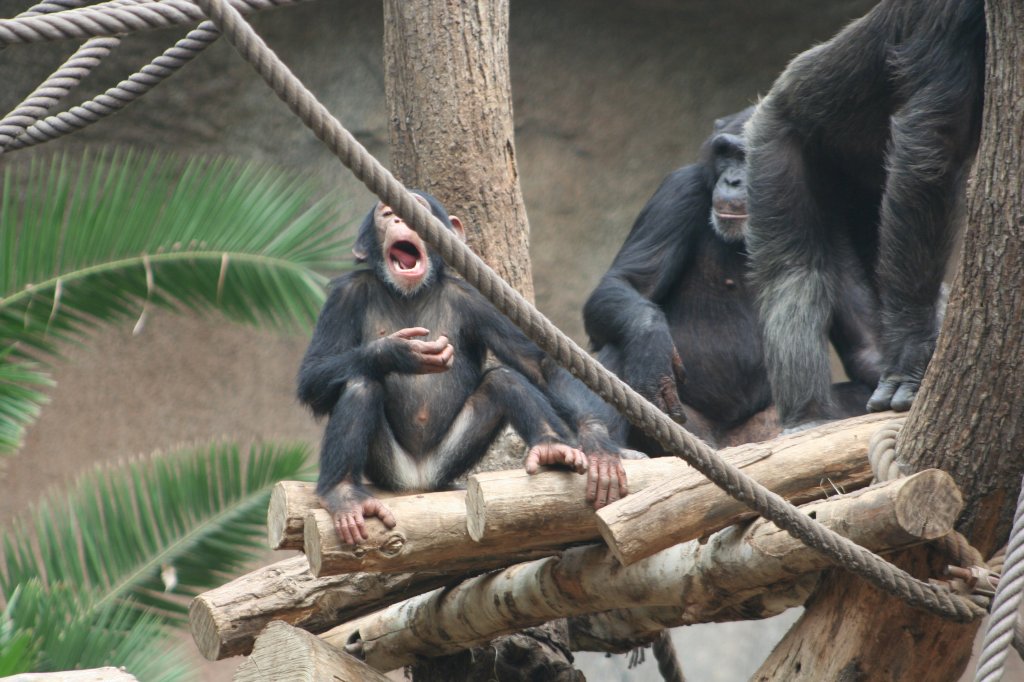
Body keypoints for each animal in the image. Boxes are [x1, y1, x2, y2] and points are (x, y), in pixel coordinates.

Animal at [296, 189, 622, 540]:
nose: (399, 217)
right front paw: (399, 352)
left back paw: (552, 449)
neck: (411, 294)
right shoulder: (344, 296)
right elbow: (312, 374)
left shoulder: (479, 300)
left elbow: (537, 363)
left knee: (505, 379)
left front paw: (598, 442)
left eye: (417, 207)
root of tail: (418, 483)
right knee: (360, 384)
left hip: (449, 459)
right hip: (390, 468)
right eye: (385, 214)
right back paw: (342, 494)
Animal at [585, 106, 872, 446]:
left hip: (761, 428)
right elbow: (629, 284)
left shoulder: (831, 217)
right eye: (726, 152)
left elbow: (864, 343)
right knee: (621, 341)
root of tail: (727, 443)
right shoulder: (677, 192)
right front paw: (650, 344)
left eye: (749, 156)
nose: (733, 180)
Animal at [745, 0, 983, 425]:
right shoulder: (946, 12)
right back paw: (806, 418)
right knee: (793, 274)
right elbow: (932, 144)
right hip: (775, 134)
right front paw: (911, 355)